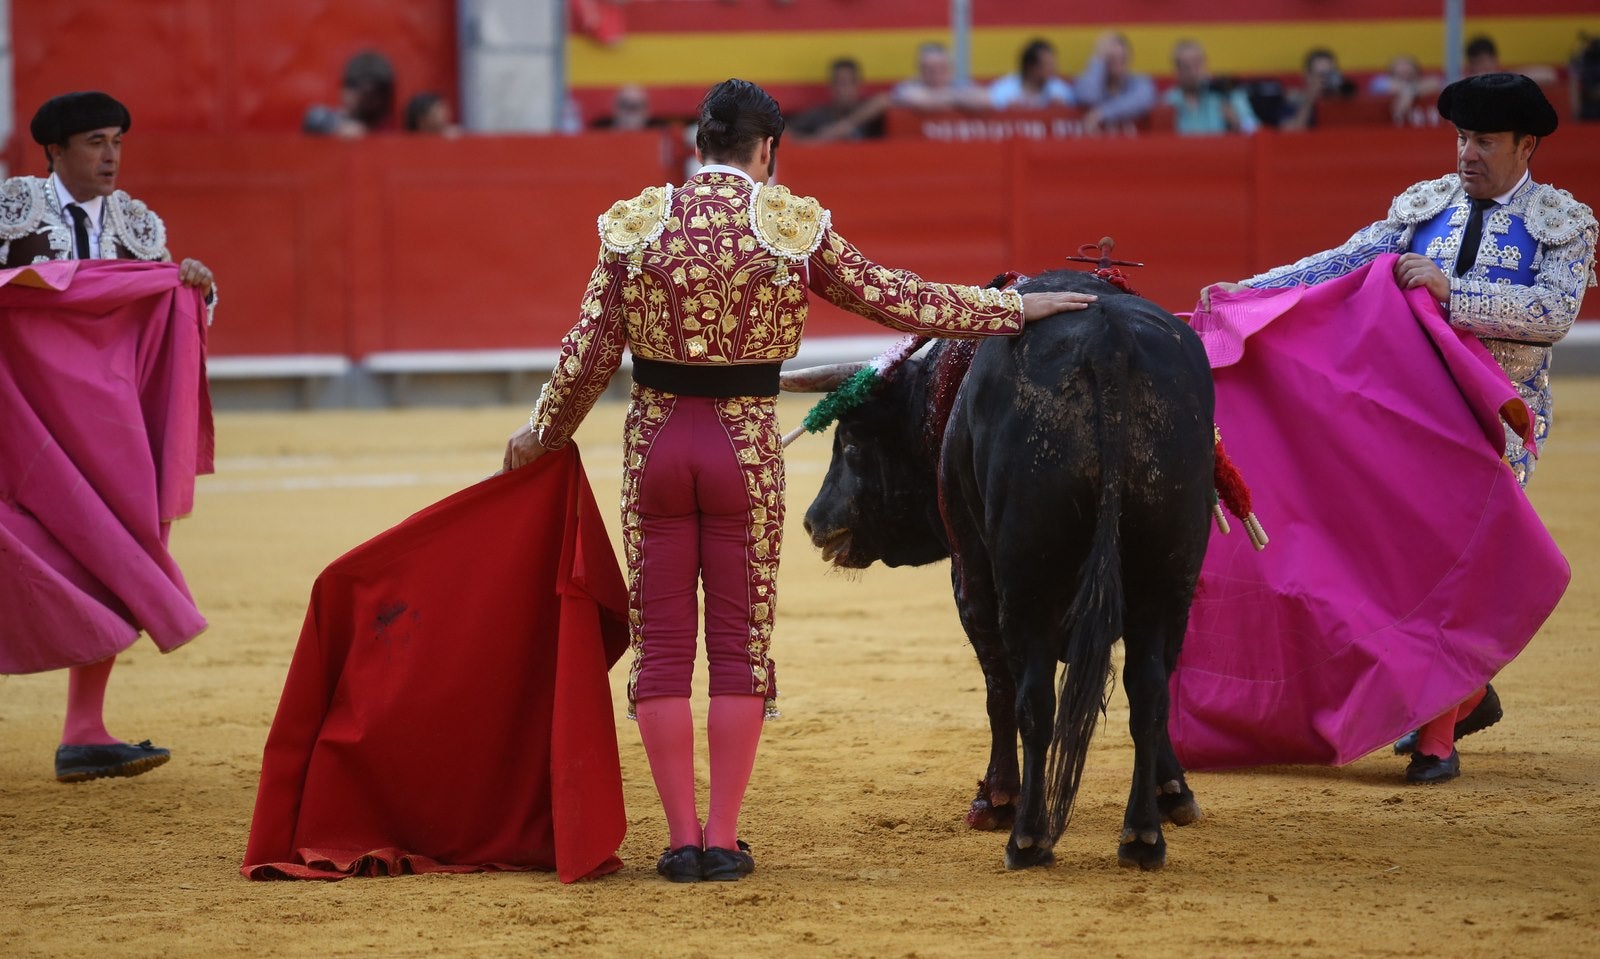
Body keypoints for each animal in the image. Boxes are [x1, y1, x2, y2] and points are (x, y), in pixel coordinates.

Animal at [784, 270, 1209, 870]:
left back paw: (1028, 836)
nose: (814, 521)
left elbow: (997, 687)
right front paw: (1175, 792)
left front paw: (994, 799)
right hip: (1168, 572)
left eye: (850, 440)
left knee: (1034, 699)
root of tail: (1108, 344)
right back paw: (1142, 836)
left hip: (1027, 580)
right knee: (1149, 690)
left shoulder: (973, 578)